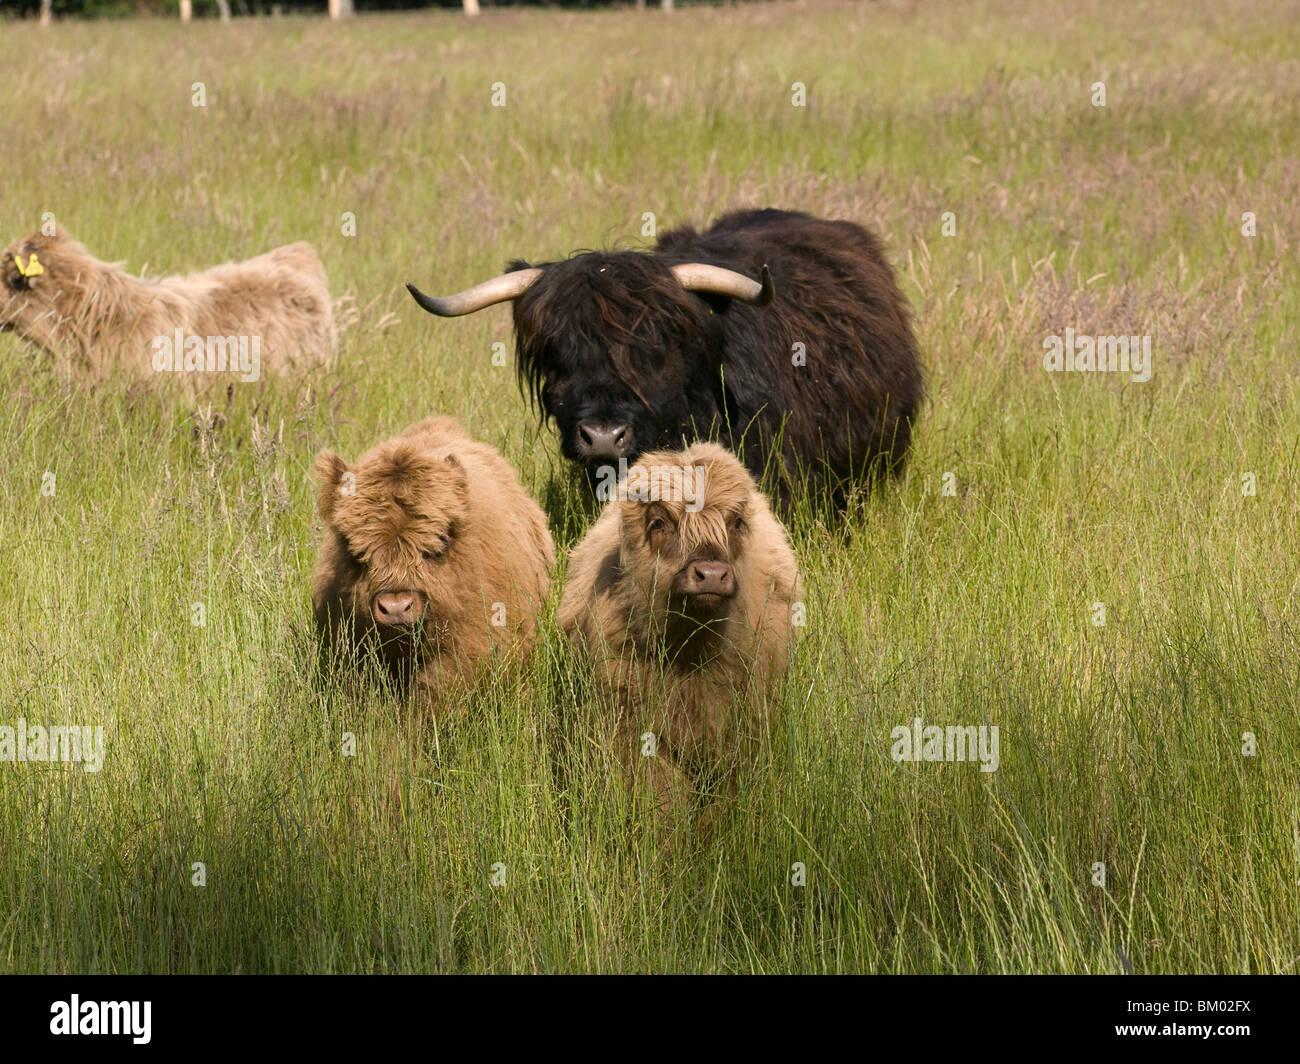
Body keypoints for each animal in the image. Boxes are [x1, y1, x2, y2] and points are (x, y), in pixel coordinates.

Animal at [557, 441, 802, 822]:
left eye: (736, 521)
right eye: (659, 522)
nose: (711, 574)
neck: (691, 654)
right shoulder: (637, 731)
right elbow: (662, 799)